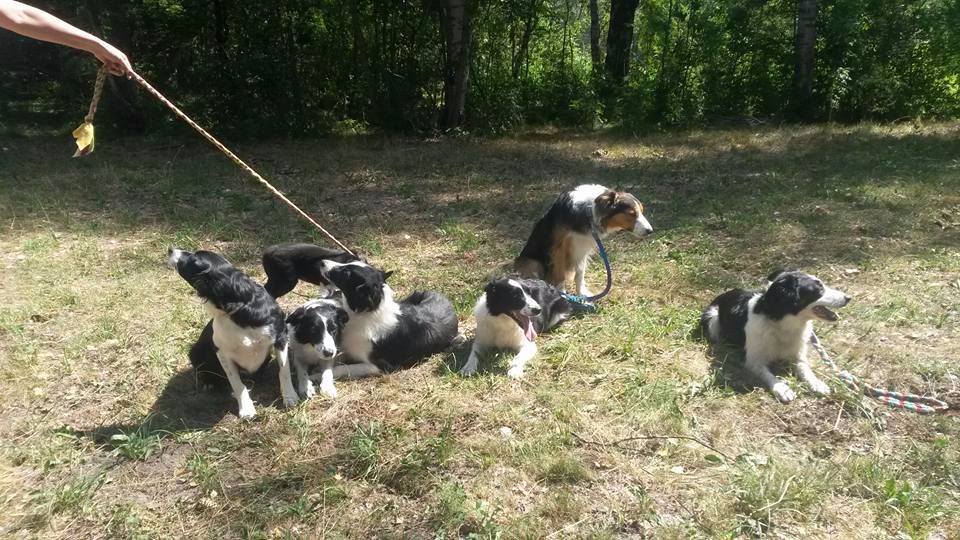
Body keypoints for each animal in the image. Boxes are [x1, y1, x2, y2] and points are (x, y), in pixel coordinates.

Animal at [167, 249, 298, 418]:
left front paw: (290, 397)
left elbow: (284, 371)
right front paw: (247, 409)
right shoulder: (222, 352)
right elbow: (236, 383)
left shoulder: (280, 337)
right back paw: (209, 383)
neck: (239, 307)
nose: (170, 249)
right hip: (195, 351)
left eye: (193, 259)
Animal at [316, 260, 460, 386]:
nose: (321, 262)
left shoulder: (382, 366)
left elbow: (342, 368)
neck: (367, 313)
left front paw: (316, 375)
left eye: (346, 273)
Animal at [512, 185, 656, 296]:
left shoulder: (584, 247)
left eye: (641, 211)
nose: (650, 231)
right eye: (631, 214)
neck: (588, 212)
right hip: (532, 263)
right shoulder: (559, 248)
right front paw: (563, 294)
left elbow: (580, 273)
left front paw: (581, 293)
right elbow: (560, 273)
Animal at [700, 268, 852, 400]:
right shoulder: (753, 361)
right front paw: (782, 389)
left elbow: (806, 369)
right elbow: (769, 375)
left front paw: (816, 383)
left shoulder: (798, 356)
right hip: (712, 318)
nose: (848, 297)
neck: (782, 324)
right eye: (819, 289)